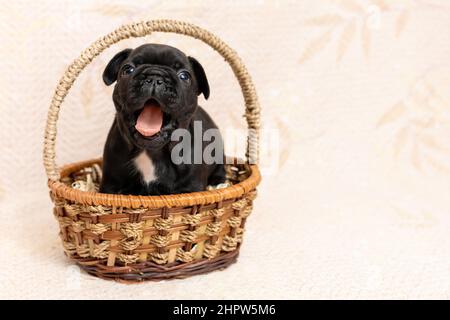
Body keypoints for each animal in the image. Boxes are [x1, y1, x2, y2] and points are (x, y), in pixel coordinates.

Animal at [98, 43, 225, 195]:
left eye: (184, 76)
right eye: (128, 69)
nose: (154, 77)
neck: (151, 152)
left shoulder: (191, 188)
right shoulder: (111, 185)